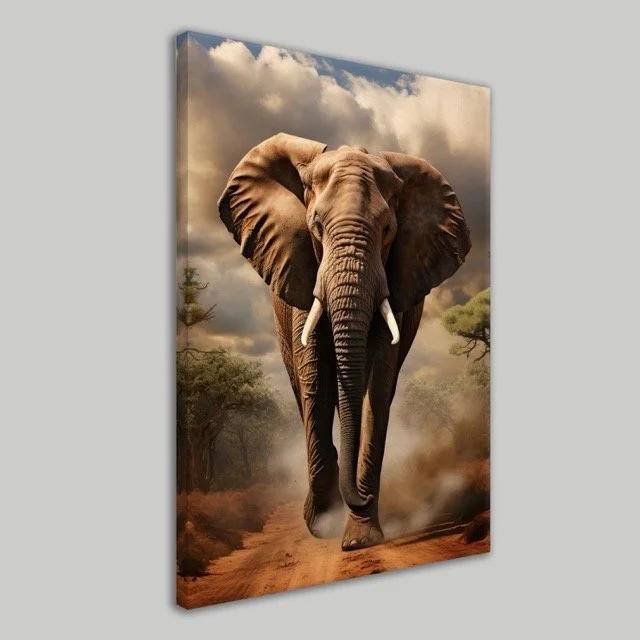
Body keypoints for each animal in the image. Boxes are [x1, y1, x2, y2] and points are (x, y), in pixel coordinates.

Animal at [218, 133, 471, 551]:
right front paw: (322, 523)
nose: (361, 496)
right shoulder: (301, 268)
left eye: (388, 230)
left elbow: (376, 388)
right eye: (317, 227)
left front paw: (359, 539)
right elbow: (316, 379)